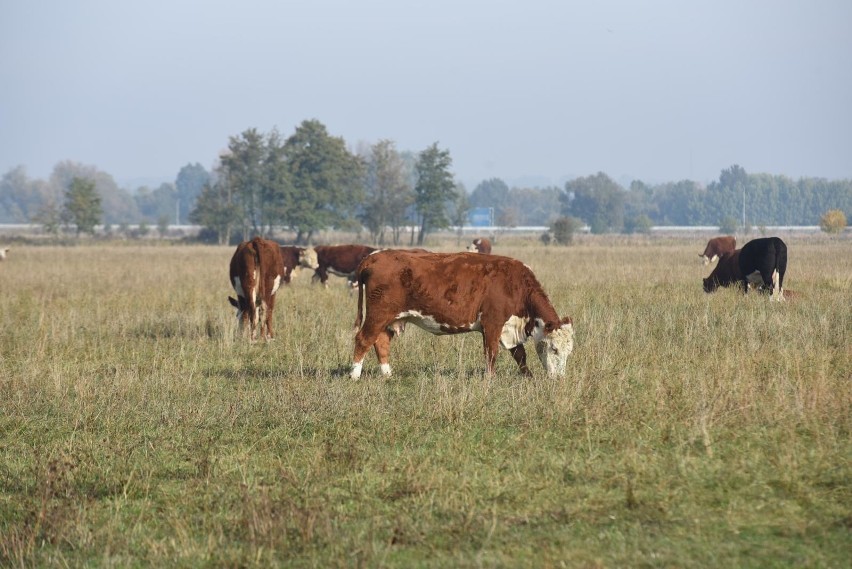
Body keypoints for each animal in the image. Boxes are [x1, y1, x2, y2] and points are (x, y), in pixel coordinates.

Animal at [350, 248, 576, 378]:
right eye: (554, 349)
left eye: (569, 351)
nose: (560, 378)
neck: (515, 285)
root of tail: (374, 257)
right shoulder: (492, 324)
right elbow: (491, 354)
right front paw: (490, 379)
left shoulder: (509, 328)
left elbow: (520, 355)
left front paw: (528, 376)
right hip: (379, 314)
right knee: (363, 339)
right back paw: (354, 375)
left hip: (390, 318)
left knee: (380, 341)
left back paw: (387, 374)